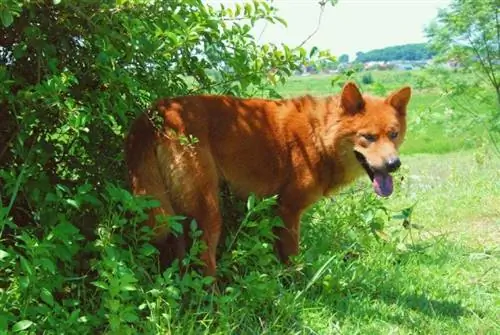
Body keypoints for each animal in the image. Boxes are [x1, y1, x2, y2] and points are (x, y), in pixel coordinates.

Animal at [124, 82, 410, 278]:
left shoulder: (275, 210)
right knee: (204, 264)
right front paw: (297, 286)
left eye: (393, 134)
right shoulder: (289, 210)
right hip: (208, 213)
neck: (319, 135)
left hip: (178, 214)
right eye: (368, 137)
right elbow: (292, 257)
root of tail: (154, 113)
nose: (393, 164)